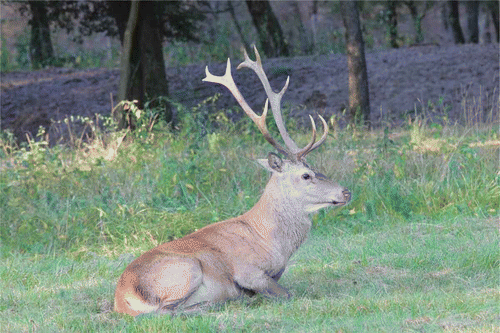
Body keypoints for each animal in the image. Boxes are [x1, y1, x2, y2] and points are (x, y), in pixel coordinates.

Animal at [114, 46, 352, 314]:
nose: (345, 192)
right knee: (170, 309)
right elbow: (286, 293)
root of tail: (123, 298)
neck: (273, 244)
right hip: (186, 269)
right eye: (305, 175)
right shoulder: (246, 270)